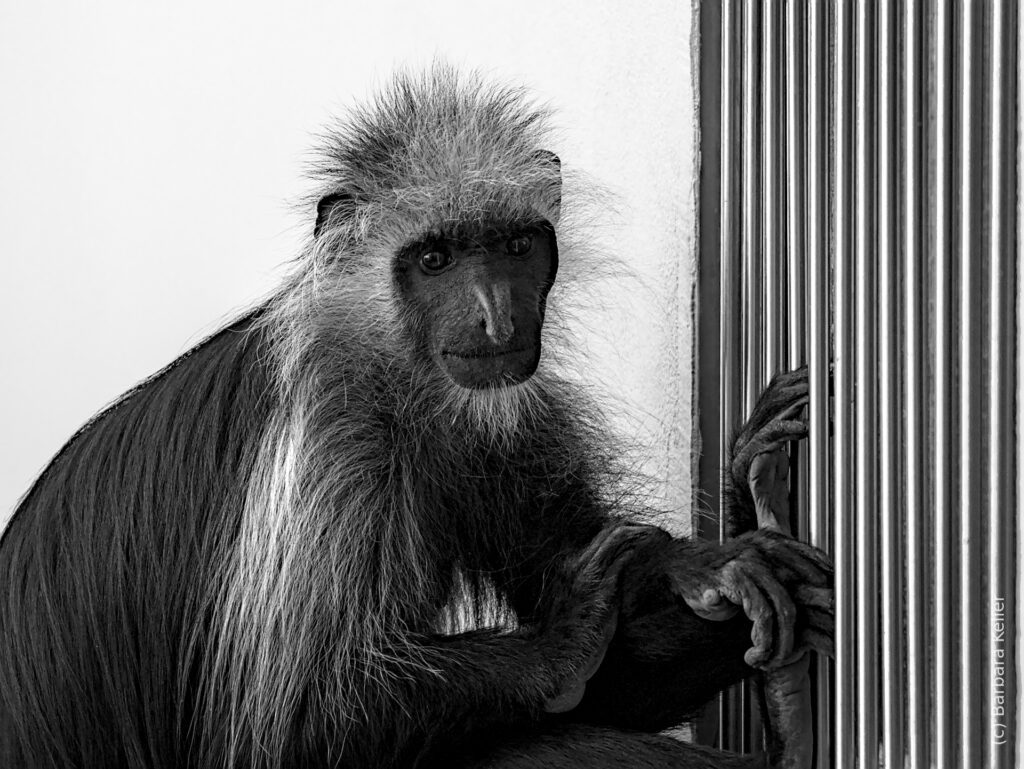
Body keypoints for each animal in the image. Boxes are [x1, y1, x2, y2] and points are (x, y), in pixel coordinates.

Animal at [0, 67, 831, 769]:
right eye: (434, 260)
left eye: (515, 246)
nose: (496, 317)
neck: (396, 373)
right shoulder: (326, 455)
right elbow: (292, 731)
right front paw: (564, 636)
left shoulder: (502, 419)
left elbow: (614, 685)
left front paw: (738, 533)